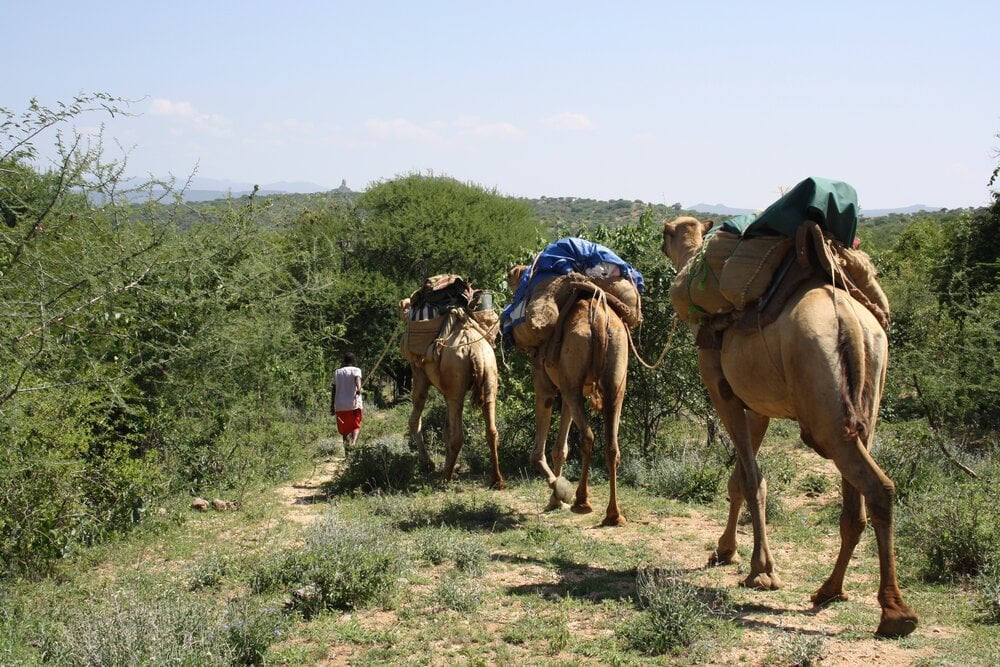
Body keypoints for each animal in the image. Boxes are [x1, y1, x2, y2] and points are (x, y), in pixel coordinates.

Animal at [399, 298, 505, 489]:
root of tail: (475, 351)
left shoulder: (419, 371)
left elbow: (415, 419)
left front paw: (428, 464)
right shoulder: (446, 390)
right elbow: (445, 429)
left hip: (456, 387)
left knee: (458, 436)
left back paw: (445, 478)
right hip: (489, 378)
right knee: (492, 430)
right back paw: (497, 480)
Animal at [509, 266, 628, 526]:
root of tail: (599, 320)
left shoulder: (545, 386)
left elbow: (538, 453)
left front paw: (558, 491)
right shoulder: (569, 390)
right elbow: (560, 448)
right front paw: (555, 499)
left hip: (573, 380)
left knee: (588, 436)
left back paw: (581, 502)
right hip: (614, 382)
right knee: (612, 445)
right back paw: (613, 515)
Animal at [660, 216, 917, 638]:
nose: (662, 243)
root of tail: (850, 322)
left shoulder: (721, 390)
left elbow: (751, 479)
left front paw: (761, 571)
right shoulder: (758, 407)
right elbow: (741, 480)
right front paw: (726, 551)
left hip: (823, 404)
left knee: (879, 487)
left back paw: (896, 614)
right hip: (865, 403)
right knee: (857, 503)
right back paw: (830, 590)